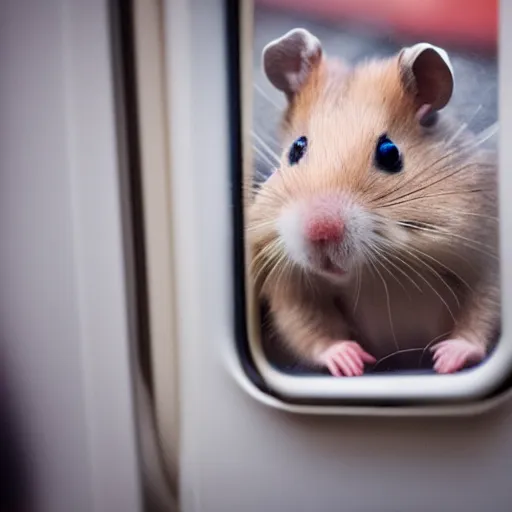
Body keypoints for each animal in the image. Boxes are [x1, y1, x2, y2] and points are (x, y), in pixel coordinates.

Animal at [248, 30, 500, 378]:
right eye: (296, 149)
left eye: (389, 153)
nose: (319, 232)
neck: (376, 273)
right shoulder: (287, 282)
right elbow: (306, 325)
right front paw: (353, 363)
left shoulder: (485, 255)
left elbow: (483, 310)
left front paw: (444, 360)